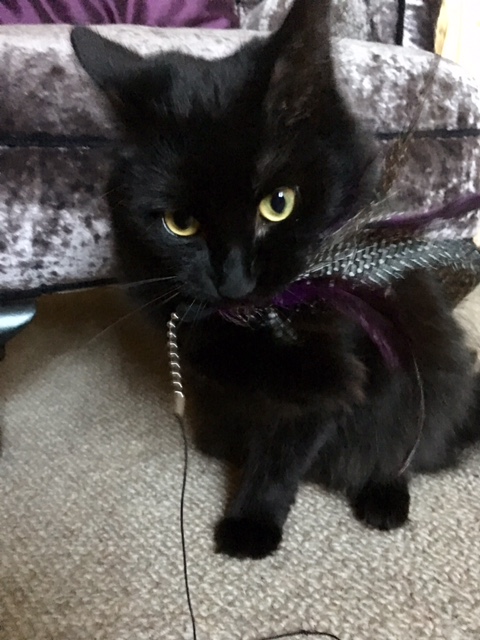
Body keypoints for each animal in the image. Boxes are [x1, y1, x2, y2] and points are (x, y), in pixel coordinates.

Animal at [71, 0, 480, 559]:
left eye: (278, 204)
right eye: (180, 223)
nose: (233, 279)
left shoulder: (326, 381)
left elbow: (280, 458)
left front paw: (250, 524)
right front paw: (217, 442)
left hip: (425, 373)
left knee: (407, 446)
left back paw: (384, 496)